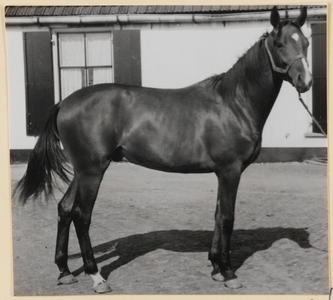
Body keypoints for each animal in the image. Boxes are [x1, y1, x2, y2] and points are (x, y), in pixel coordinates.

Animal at [14, 6, 312, 292]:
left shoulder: (221, 173)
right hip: (92, 171)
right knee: (81, 215)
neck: (233, 103)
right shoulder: (231, 170)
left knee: (65, 208)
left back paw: (64, 272)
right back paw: (96, 277)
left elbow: (217, 215)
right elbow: (227, 218)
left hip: (82, 170)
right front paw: (228, 273)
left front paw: (216, 267)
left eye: (306, 42)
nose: (305, 81)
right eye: (279, 43)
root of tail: (64, 102)